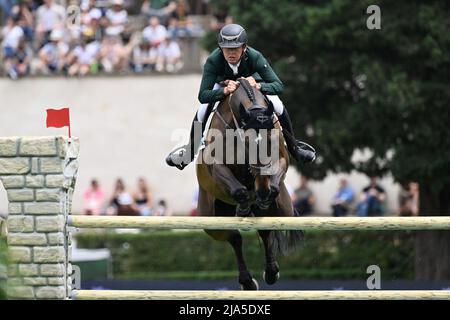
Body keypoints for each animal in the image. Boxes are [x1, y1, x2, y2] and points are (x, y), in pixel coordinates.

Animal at [196, 79, 304, 292]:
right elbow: (239, 190)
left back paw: (271, 272)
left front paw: (263, 196)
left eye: (270, 141)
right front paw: (245, 205)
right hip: (211, 219)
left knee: (265, 230)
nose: (261, 188)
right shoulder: (216, 165)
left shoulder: (281, 159)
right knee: (234, 237)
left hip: (285, 211)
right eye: (247, 142)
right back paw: (247, 281)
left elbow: (274, 184)